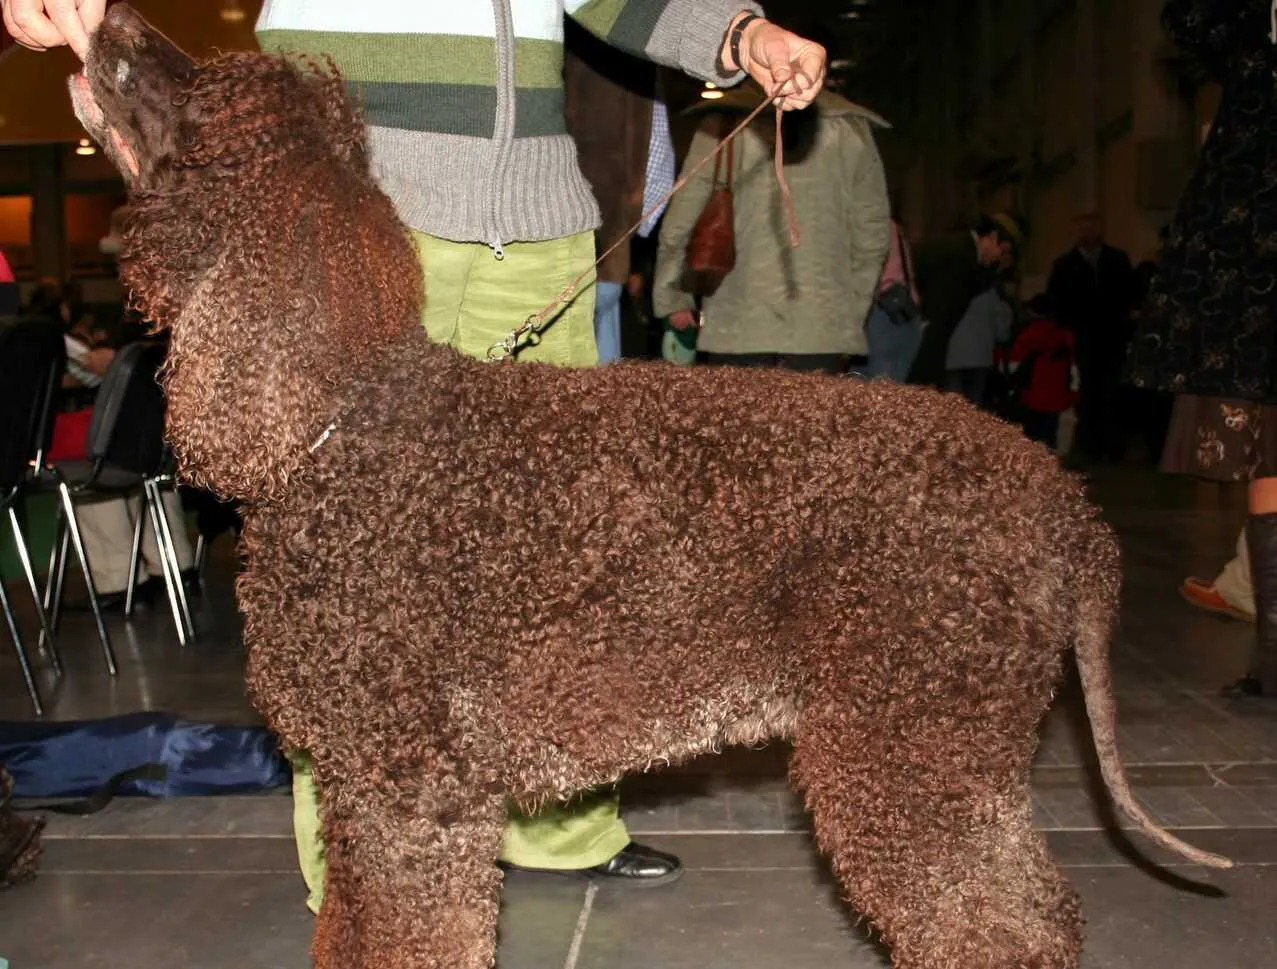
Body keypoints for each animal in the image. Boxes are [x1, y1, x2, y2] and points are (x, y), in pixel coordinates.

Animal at [69, 7, 1225, 969]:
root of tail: (1062, 502)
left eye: (202, 101)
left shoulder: (412, 799)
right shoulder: (366, 795)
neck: (340, 421)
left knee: (1001, 929)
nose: (111, 20)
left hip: (913, 747)